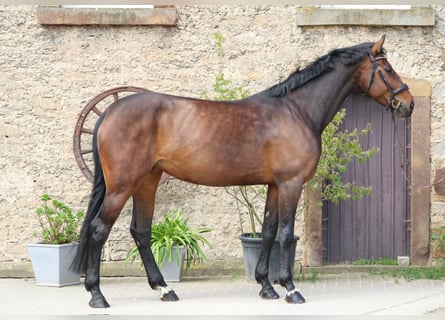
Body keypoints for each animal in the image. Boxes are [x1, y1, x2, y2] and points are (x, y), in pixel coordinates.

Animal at [71, 35, 414, 308]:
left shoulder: (275, 185)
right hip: (122, 186)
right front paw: (290, 289)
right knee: (99, 230)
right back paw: (97, 295)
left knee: (141, 231)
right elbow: (286, 235)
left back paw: (164, 288)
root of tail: (110, 112)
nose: (408, 103)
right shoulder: (291, 184)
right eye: (387, 69)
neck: (297, 111)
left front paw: (266, 286)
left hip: (147, 181)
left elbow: (268, 231)